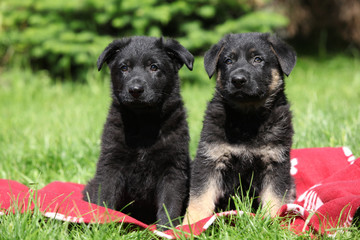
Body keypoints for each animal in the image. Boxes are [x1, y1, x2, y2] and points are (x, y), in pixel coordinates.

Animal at [82, 36, 193, 228]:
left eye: (154, 67)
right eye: (124, 68)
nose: (135, 90)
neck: (143, 124)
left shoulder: (173, 168)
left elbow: (170, 202)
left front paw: (166, 228)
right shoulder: (111, 163)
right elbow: (105, 197)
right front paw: (103, 224)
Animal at [184, 32, 296, 225]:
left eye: (258, 59)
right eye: (229, 61)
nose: (238, 80)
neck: (247, 119)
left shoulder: (275, 162)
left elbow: (274, 198)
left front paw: (272, 223)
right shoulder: (210, 159)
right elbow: (199, 198)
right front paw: (190, 225)